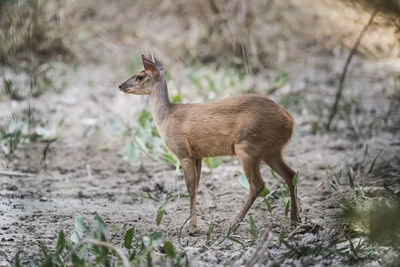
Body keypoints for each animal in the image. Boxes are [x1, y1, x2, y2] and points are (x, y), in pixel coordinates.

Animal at [119, 55, 300, 236]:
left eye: (140, 76)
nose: (120, 85)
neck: (166, 118)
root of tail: (290, 120)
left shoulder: (183, 152)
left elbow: (190, 188)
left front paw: (191, 228)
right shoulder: (198, 155)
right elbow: (197, 186)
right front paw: (193, 224)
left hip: (247, 147)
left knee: (258, 185)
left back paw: (233, 225)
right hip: (271, 151)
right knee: (291, 175)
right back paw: (295, 220)